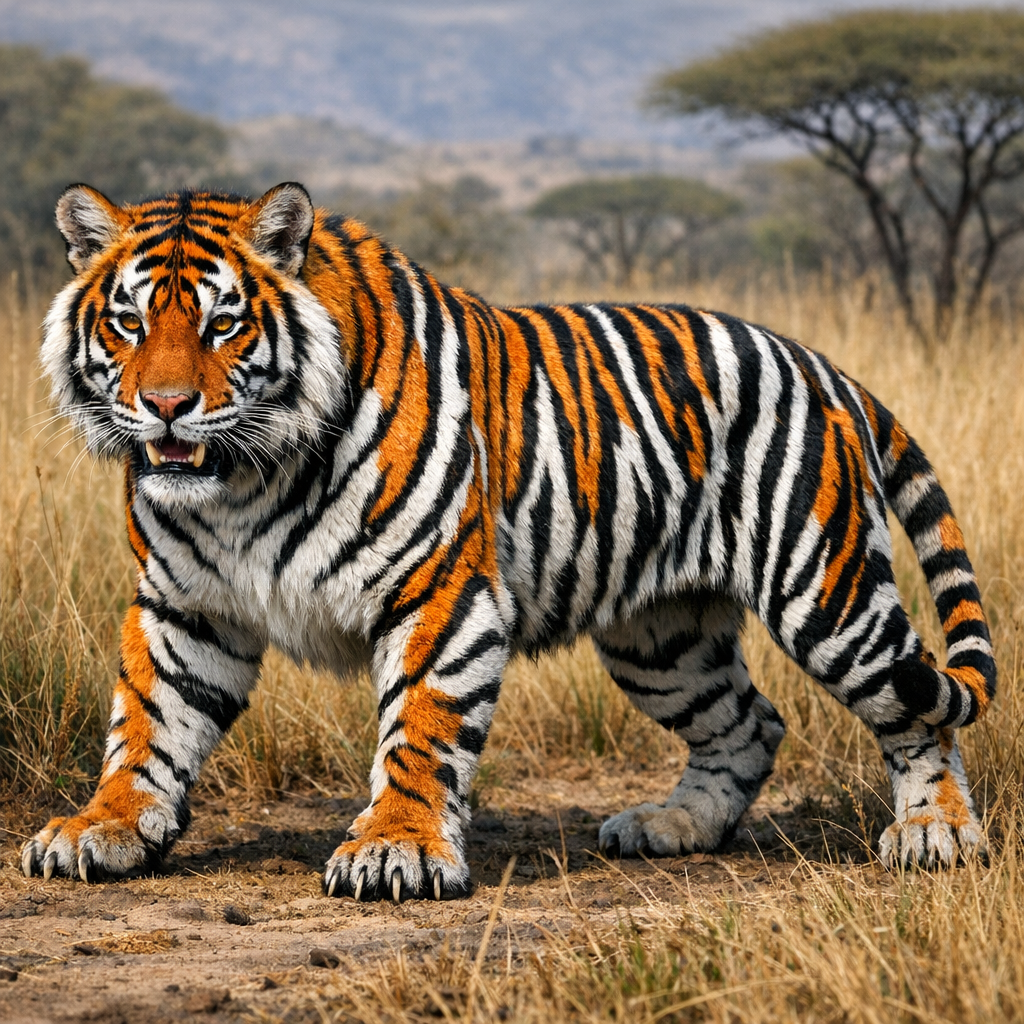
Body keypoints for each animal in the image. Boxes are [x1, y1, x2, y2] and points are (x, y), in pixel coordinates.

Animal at [22, 182, 995, 901]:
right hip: (661, 640)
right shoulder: (184, 605)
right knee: (750, 722)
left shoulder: (438, 593)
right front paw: (103, 828)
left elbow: (419, 728)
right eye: (128, 322)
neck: (242, 483)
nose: (166, 406)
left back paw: (936, 835)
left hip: (825, 593)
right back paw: (672, 827)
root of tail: (819, 361)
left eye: (223, 323)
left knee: (917, 712)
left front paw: (397, 849)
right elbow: (148, 723)